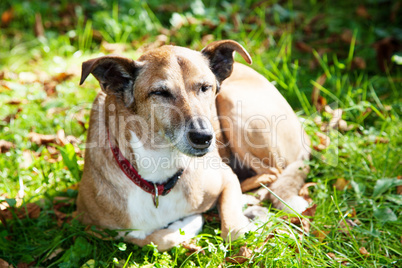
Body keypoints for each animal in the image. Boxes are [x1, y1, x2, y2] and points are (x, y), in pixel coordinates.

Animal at [77, 39, 310, 251]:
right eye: (160, 93)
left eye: (205, 87)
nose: (203, 137)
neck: (159, 173)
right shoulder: (92, 226)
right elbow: (155, 239)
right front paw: (185, 224)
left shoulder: (226, 178)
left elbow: (233, 230)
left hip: (234, 105)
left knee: (274, 173)